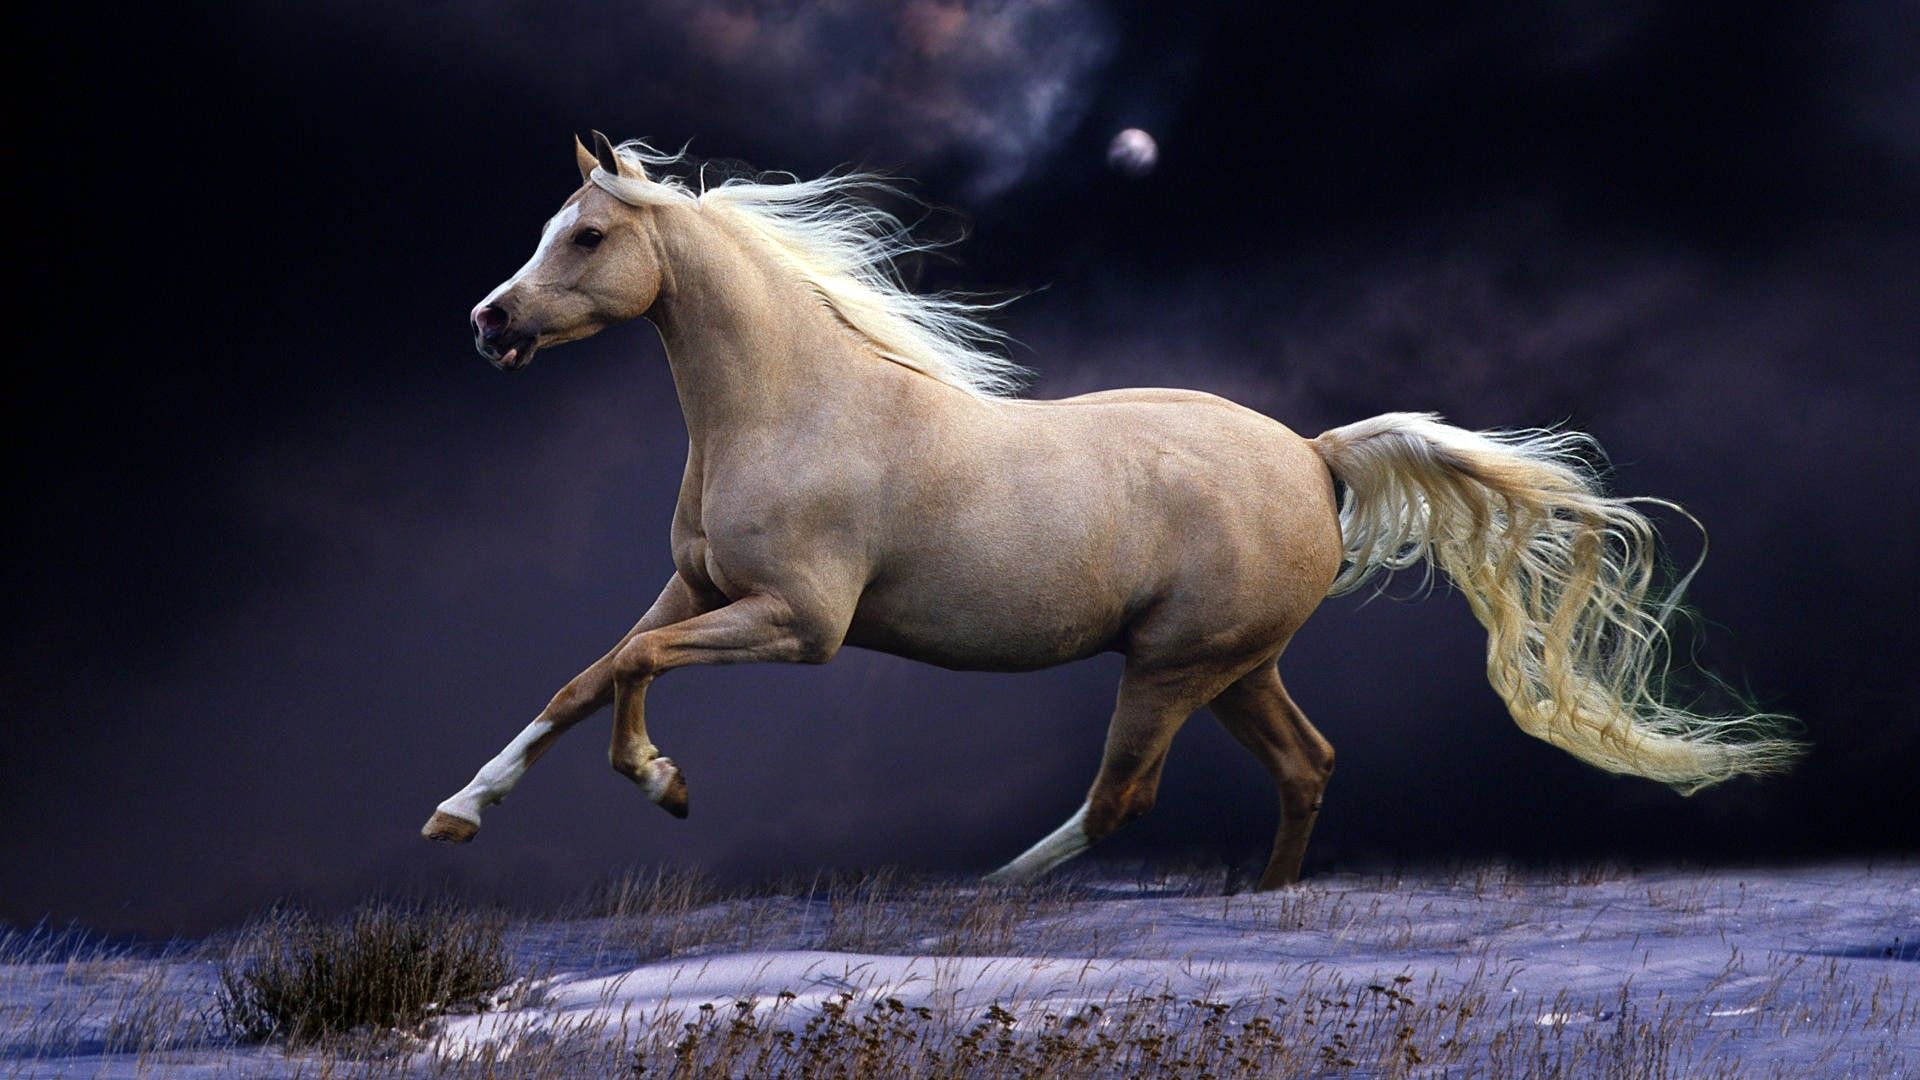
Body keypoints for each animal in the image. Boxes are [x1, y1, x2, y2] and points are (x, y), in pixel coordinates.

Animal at [421, 132, 1799, 890]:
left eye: (587, 236)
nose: (488, 323)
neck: (792, 406)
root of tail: (1314, 456)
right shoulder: (700, 588)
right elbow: (585, 674)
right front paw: (456, 813)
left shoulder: (797, 624)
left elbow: (631, 671)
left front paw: (662, 785)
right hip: (1237, 666)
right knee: (1307, 764)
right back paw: (1260, 903)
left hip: (1175, 666)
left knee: (1122, 799)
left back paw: (976, 896)